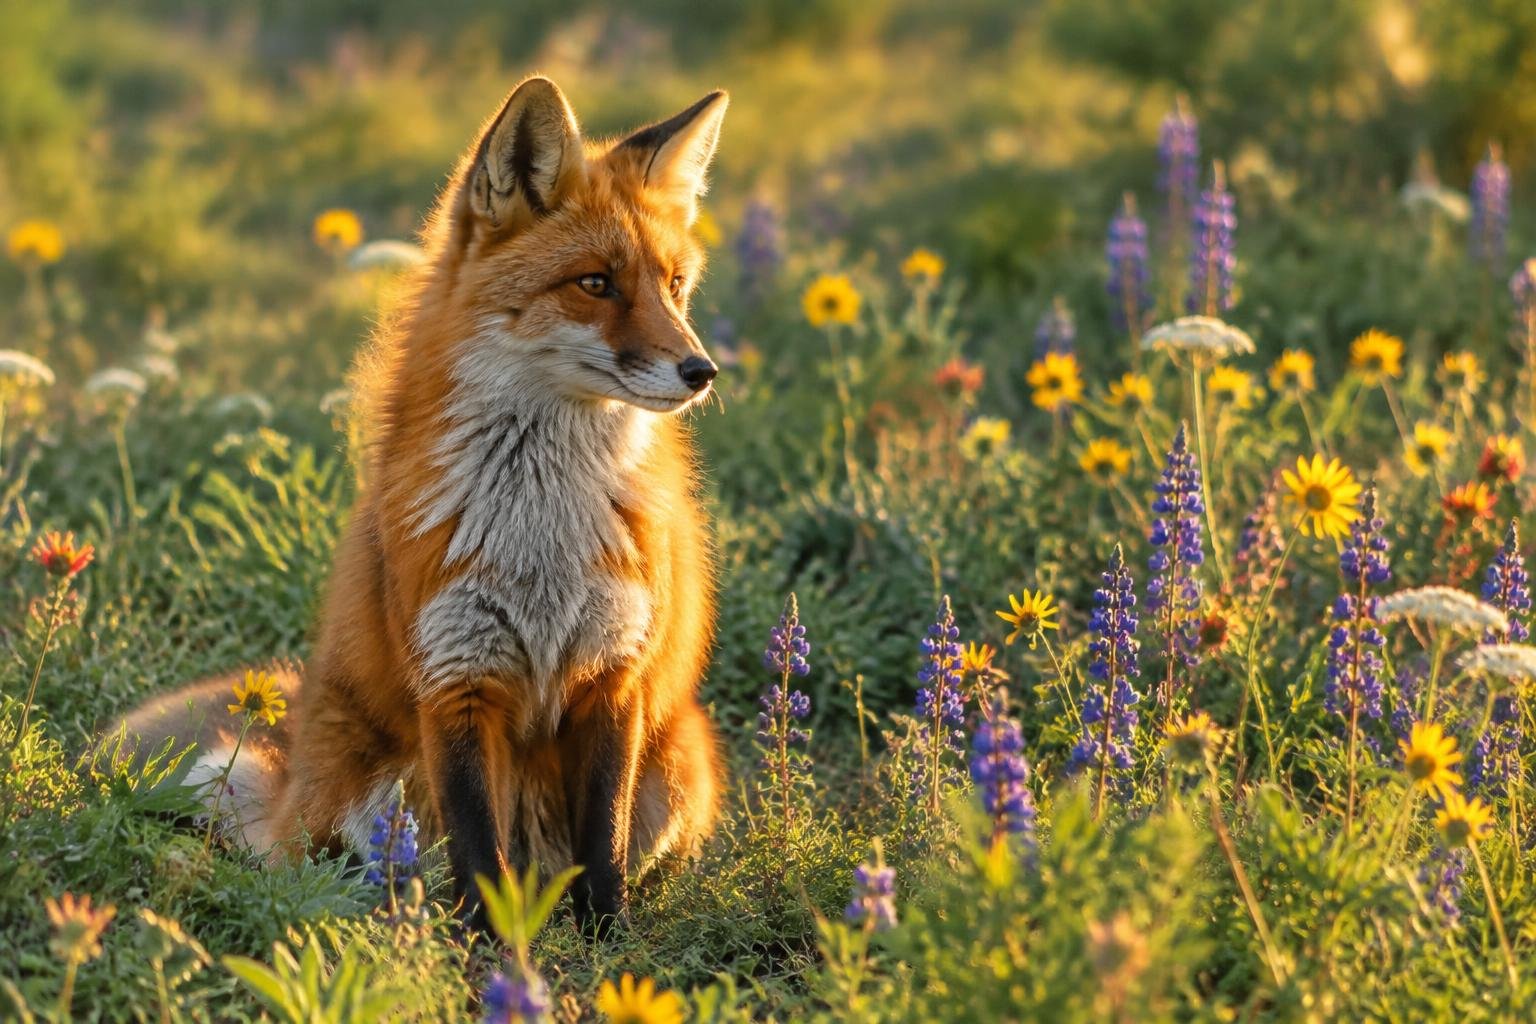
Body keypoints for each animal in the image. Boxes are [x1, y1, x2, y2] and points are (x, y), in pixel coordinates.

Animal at [117, 76, 729, 933]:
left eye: (674, 286)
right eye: (596, 283)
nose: (701, 370)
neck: (541, 537)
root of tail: (295, 761)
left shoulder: (614, 677)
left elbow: (602, 846)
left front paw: (607, 940)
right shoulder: (457, 678)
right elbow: (477, 854)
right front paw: (488, 948)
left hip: (679, 762)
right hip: (373, 793)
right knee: (335, 864)